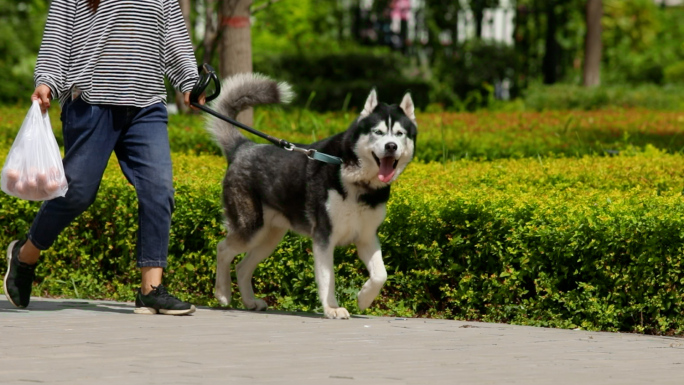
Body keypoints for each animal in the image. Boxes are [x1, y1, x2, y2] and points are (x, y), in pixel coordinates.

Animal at [210, 73, 416, 318]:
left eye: (400, 134)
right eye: (378, 132)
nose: (391, 146)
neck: (355, 179)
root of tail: (244, 147)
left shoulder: (367, 236)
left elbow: (380, 275)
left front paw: (364, 299)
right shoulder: (324, 236)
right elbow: (328, 278)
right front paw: (332, 308)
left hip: (269, 237)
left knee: (242, 266)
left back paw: (250, 301)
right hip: (251, 228)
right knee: (223, 249)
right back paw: (222, 293)